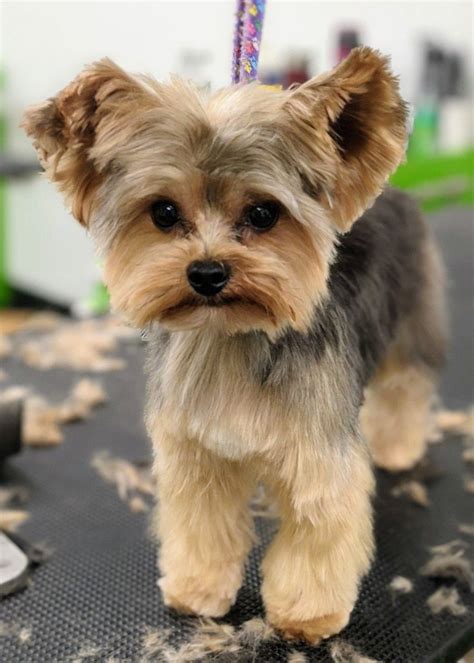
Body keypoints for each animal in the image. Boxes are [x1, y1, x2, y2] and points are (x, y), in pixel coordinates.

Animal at [22, 45, 446, 644]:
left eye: (264, 213)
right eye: (164, 212)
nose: (206, 273)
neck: (230, 338)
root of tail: (398, 192)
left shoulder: (317, 458)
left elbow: (317, 534)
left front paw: (306, 614)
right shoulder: (196, 455)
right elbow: (202, 526)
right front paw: (198, 589)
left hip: (410, 323)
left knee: (406, 388)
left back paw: (399, 446)